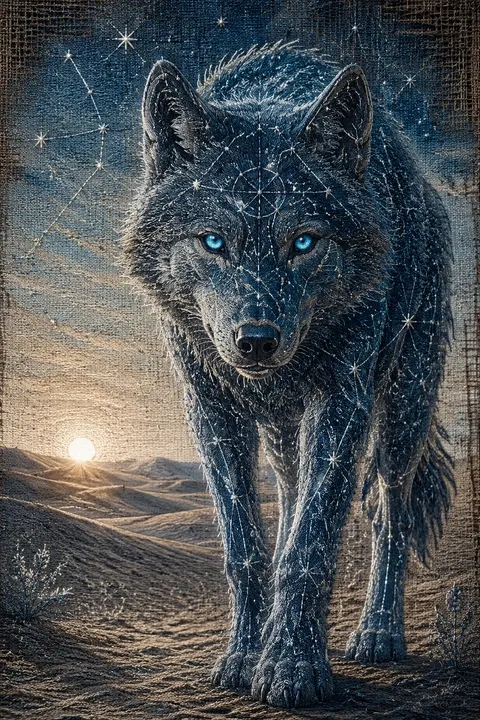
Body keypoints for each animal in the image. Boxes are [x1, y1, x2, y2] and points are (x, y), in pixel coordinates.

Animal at [125, 43, 454, 708]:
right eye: (213, 242)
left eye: (303, 242)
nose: (256, 342)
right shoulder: (210, 409)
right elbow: (247, 548)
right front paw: (244, 657)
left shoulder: (343, 400)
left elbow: (310, 544)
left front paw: (294, 668)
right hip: (282, 432)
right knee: (289, 496)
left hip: (404, 407)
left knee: (390, 514)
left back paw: (378, 633)